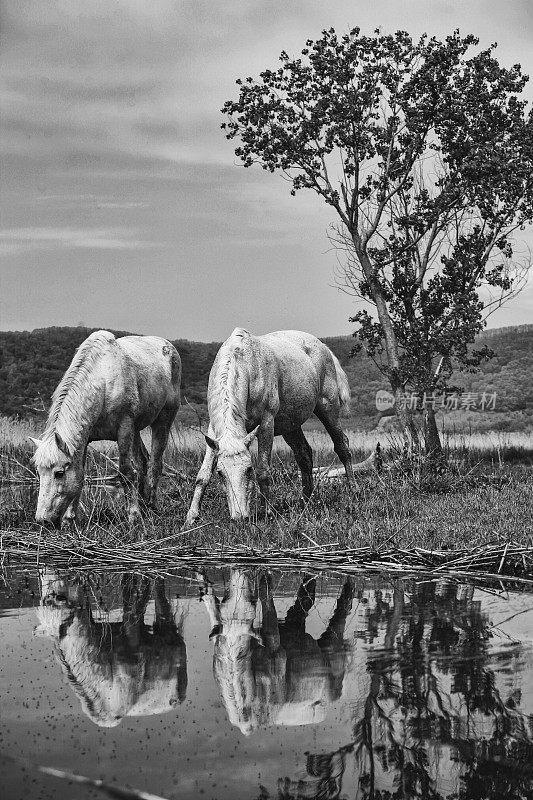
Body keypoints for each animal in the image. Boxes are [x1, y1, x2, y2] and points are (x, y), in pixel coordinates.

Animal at [30, 328, 181, 528]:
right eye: (39, 472)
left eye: (59, 473)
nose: (43, 520)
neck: (102, 383)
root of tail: (168, 345)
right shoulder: (84, 439)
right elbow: (80, 476)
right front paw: (70, 519)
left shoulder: (124, 429)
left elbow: (126, 473)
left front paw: (133, 517)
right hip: (136, 430)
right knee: (142, 462)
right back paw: (142, 504)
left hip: (163, 420)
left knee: (155, 463)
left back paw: (150, 506)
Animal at [185, 326, 356, 524]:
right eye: (220, 473)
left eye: (249, 469)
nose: (239, 518)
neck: (245, 363)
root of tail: (324, 347)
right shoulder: (213, 432)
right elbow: (202, 475)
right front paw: (191, 518)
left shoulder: (266, 423)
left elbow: (263, 470)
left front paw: (267, 513)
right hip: (291, 425)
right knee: (304, 454)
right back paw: (306, 500)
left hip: (328, 408)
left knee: (342, 446)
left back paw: (354, 490)